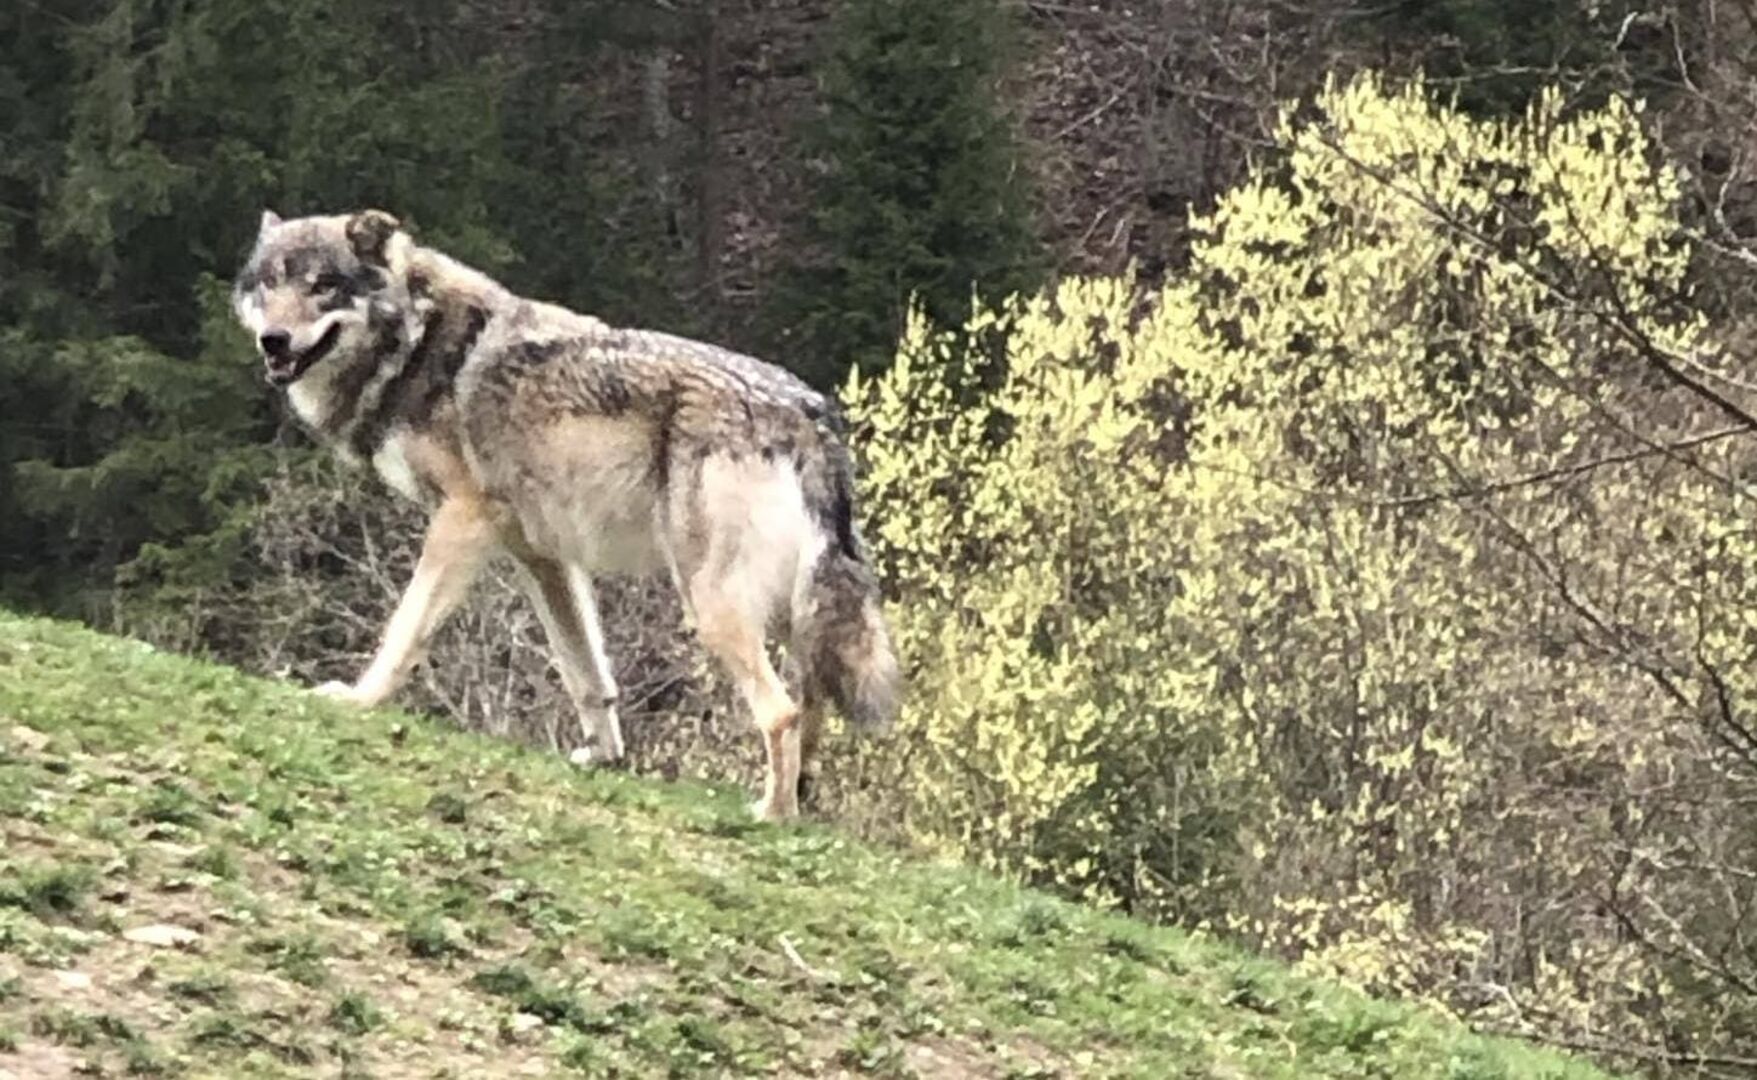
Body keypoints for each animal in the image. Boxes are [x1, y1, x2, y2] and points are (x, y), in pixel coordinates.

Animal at [231, 208, 900, 820]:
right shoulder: (543, 558)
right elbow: (587, 674)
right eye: (269, 284)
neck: (416, 343)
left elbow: (406, 629)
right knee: (810, 708)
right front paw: (603, 755)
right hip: (796, 613)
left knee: (781, 712)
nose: (274, 341)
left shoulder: (461, 520)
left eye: (323, 285)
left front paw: (361, 699)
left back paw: (770, 814)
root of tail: (810, 412)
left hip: (711, 604)